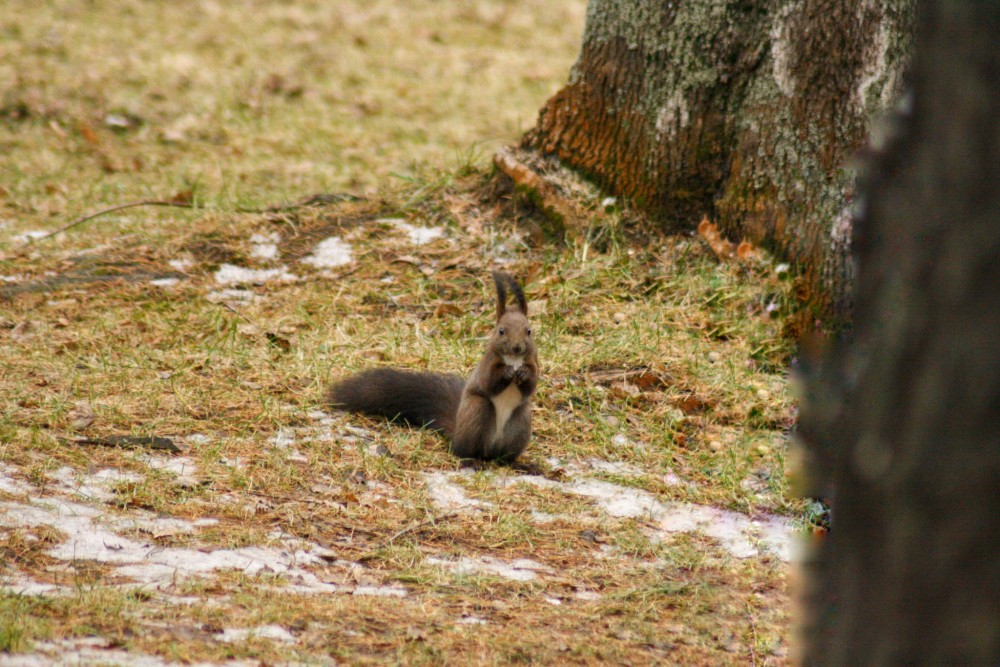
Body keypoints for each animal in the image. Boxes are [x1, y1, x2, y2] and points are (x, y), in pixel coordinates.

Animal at [328, 272, 540, 464]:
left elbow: (531, 384)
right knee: (465, 451)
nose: (517, 347)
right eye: (501, 331)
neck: (513, 359)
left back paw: (520, 464)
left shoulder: (533, 361)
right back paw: (471, 460)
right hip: (477, 410)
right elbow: (489, 382)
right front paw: (506, 372)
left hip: (520, 421)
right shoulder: (486, 366)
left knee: (504, 457)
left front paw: (524, 373)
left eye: (529, 331)